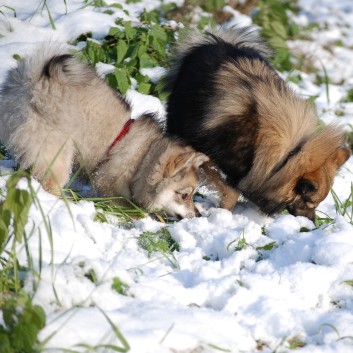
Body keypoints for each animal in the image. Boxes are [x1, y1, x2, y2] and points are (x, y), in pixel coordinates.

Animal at [0, 45, 208, 216]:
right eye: (184, 195)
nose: (198, 214)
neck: (143, 159)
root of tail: (31, 79)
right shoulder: (110, 184)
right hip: (56, 152)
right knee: (49, 183)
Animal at [164, 26, 350, 220]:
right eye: (308, 203)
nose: (313, 221)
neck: (288, 155)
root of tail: (219, 41)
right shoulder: (207, 152)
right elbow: (231, 191)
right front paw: (224, 212)